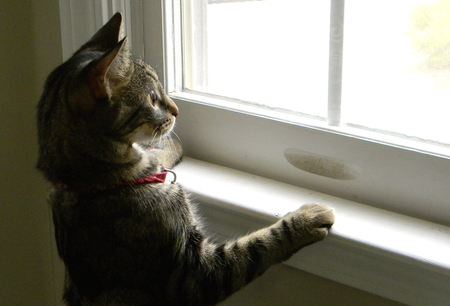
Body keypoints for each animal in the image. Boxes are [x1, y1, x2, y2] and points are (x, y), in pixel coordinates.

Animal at [37, 13, 334, 306]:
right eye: (152, 98)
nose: (177, 110)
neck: (89, 183)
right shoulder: (194, 275)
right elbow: (256, 248)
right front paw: (306, 220)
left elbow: (156, 152)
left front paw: (169, 147)